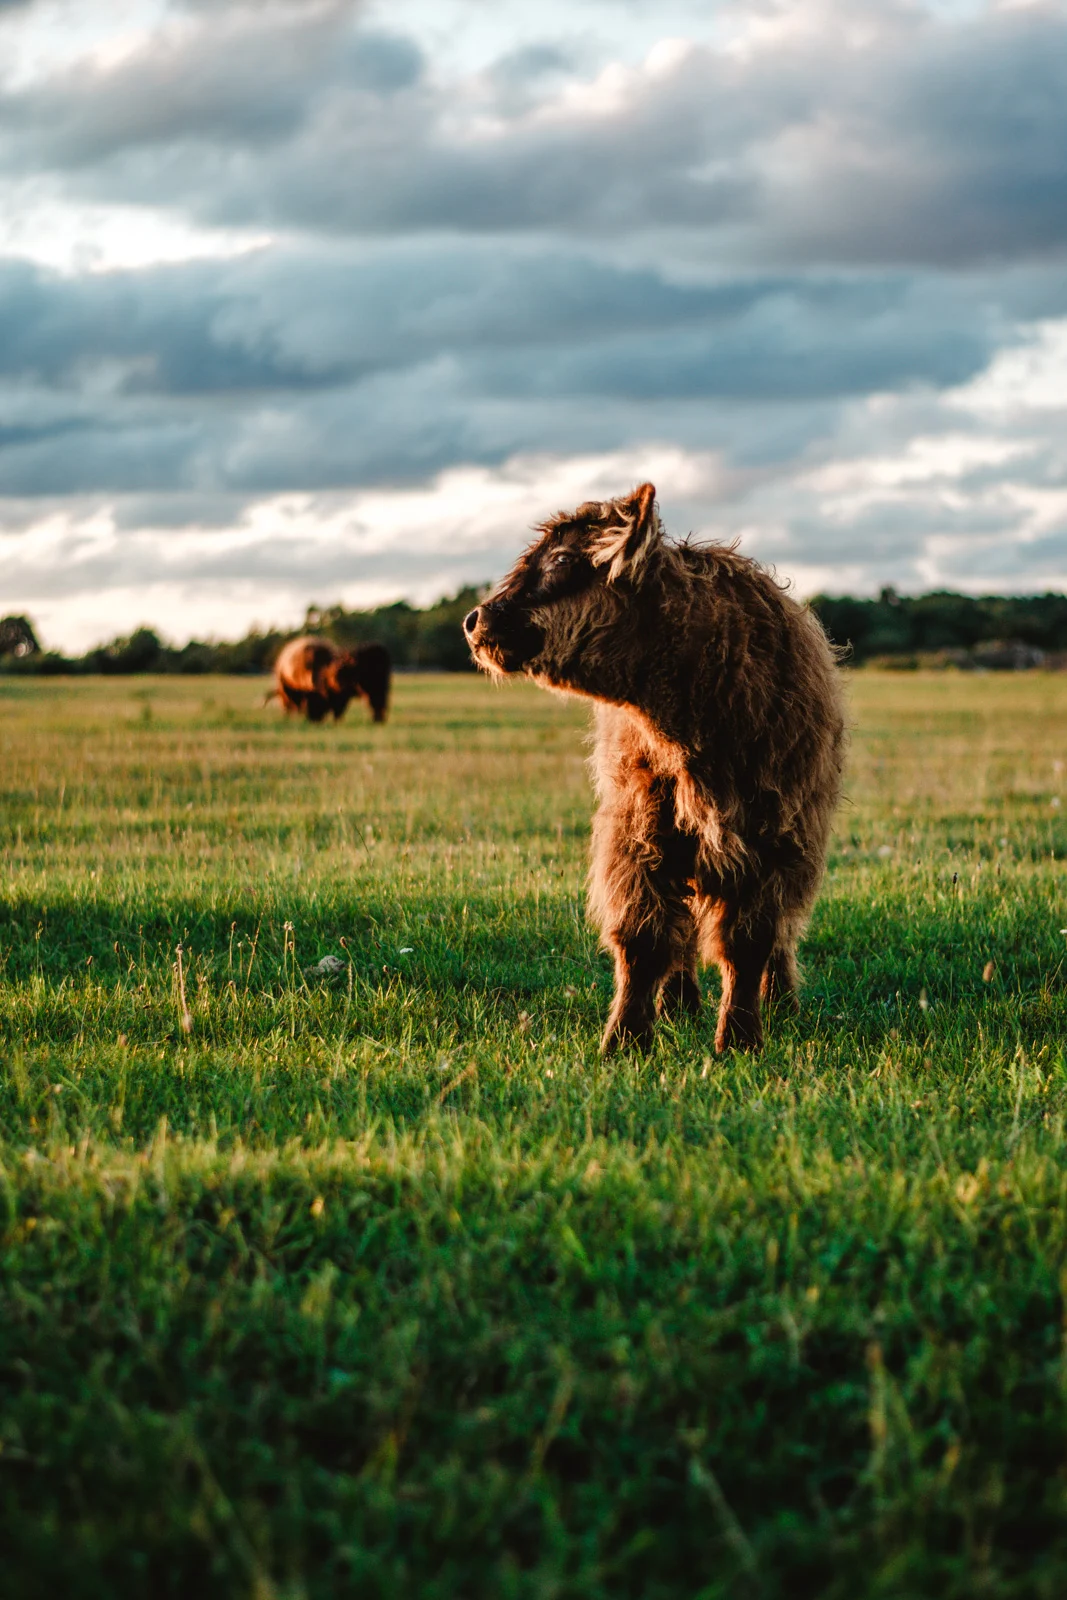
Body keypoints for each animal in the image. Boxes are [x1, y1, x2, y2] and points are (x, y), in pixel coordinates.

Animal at [463, 486, 844, 1062]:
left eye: (562, 560)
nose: (475, 620)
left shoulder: (775, 837)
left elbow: (750, 941)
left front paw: (740, 1039)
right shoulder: (638, 833)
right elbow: (643, 939)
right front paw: (625, 1040)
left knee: (779, 933)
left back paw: (782, 1001)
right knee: (681, 933)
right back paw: (678, 1002)